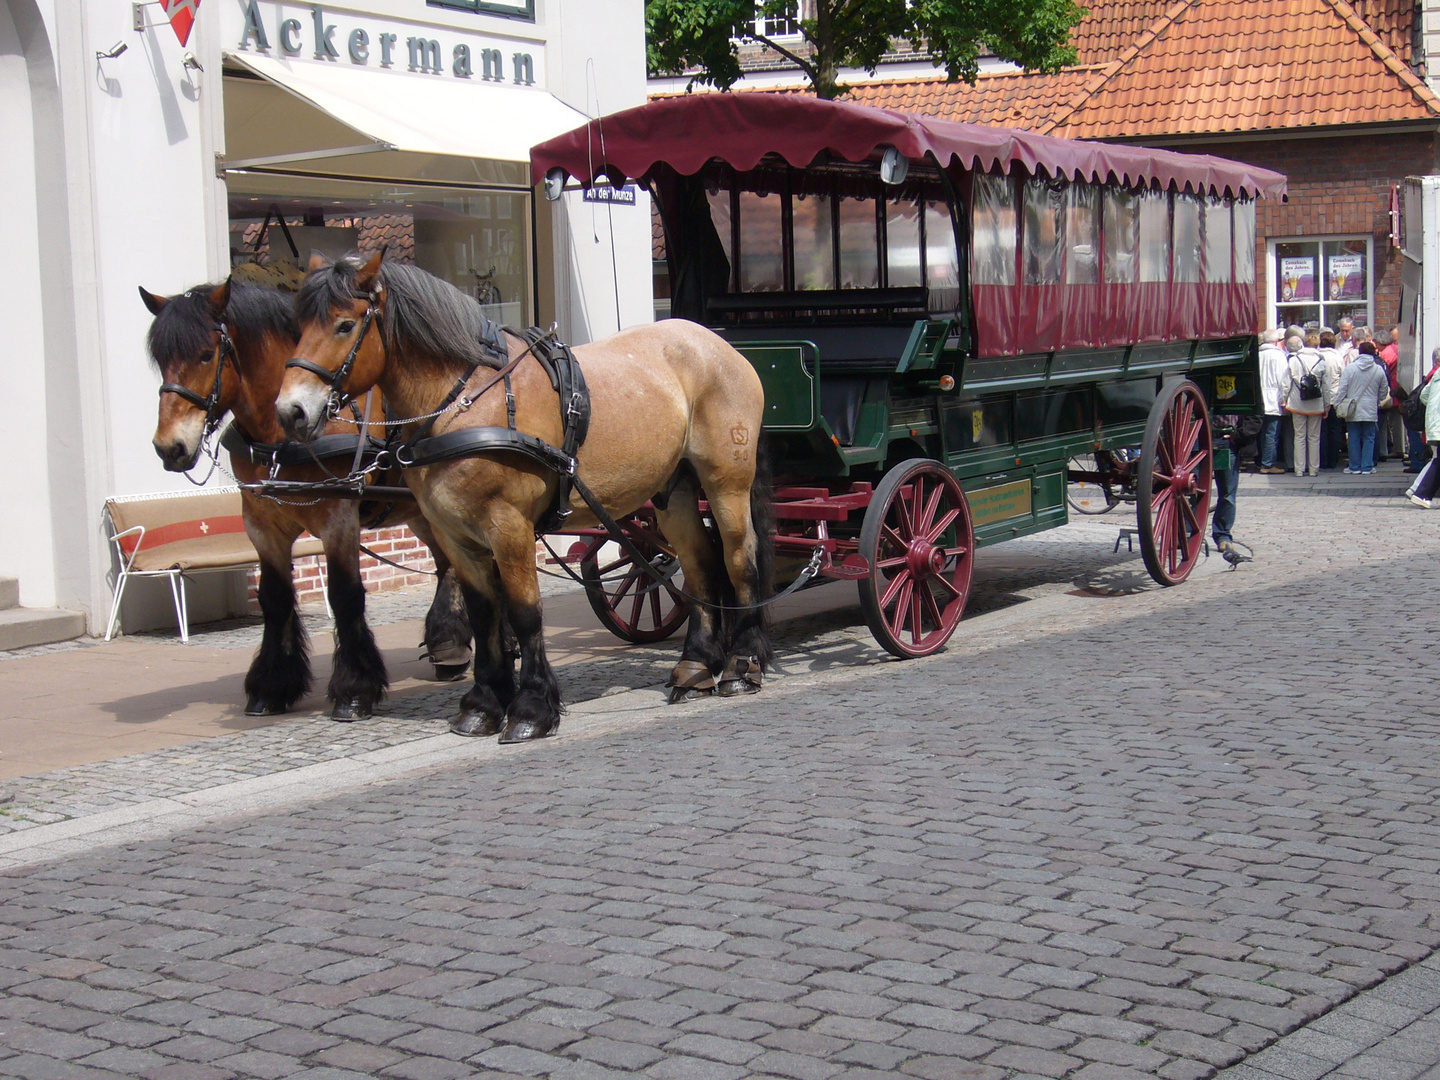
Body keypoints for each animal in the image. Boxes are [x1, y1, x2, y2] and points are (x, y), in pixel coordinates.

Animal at [139, 280, 469, 720]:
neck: (280, 436)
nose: (169, 447)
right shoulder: (261, 524)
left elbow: (345, 596)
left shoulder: (337, 518)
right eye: (161, 360)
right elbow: (274, 599)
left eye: (207, 354)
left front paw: (354, 688)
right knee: (449, 562)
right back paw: (450, 646)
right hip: (421, 508)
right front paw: (271, 684)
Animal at [273, 253, 771, 743]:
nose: (290, 411)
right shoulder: (456, 535)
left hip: (726, 482)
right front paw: (483, 704)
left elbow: (525, 613)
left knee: (738, 560)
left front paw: (531, 708)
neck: (467, 403)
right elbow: (484, 615)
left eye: (344, 325)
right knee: (700, 566)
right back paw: (695, 667)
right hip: (674, 491)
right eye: (299, 324)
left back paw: (740, 665)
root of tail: (714, 342)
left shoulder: (509, 526)